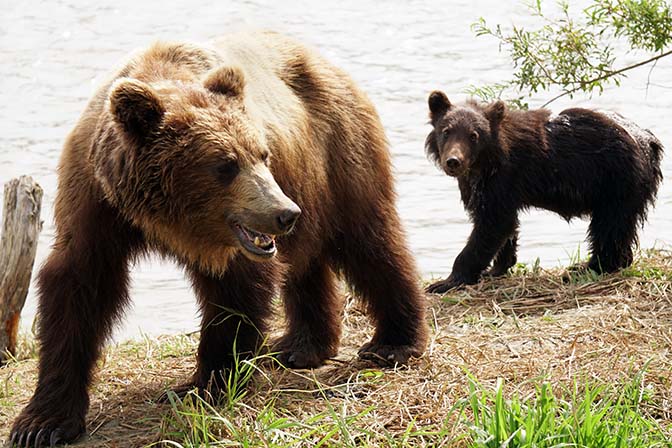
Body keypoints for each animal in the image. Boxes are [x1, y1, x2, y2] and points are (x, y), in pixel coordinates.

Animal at [10, 32, 428, 448]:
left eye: (261, 154)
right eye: (226, 165)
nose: (284, 213)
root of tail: (325, 62)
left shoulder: (237, 238)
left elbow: (235, 295)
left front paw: (203, 385)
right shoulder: (96, 200)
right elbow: (78, 286)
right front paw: (41, 422)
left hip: (337, 154)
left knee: (369, 242)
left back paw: (393, 342)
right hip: (307, 181)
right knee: (308, 262)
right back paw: (301, 345)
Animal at [426, 91, 660, 294]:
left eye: (474, 135)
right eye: (446, 131)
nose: (453, 162)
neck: (484, 161)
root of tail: (649, 141)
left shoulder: (503, 177)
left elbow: (492, 223)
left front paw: (446, 281)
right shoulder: (486, 186)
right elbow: (502, 224)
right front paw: (497, 268)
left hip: (617, 182)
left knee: (609, 226)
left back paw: (585, 268)